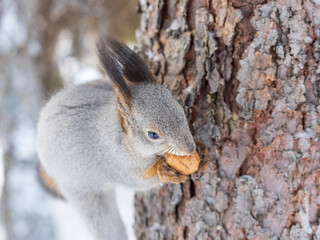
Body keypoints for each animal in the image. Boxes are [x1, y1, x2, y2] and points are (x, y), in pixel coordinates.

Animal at [36, 39, 209, 240]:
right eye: (152, 134)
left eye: (180, 108)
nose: (189, 149)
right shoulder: (117, 165)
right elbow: (139, 180)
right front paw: (163, 170)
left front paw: (202, 151)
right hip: (83, 193)